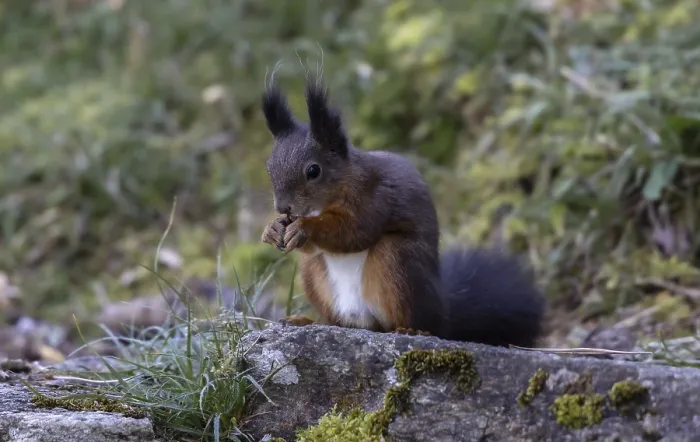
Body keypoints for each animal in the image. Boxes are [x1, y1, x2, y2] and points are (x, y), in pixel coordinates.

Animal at [259, 79, 546, 348]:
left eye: (313, 171)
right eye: (269, 167)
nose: (283, 207)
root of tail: (444, 314)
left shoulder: (374, 196)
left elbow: (354, 232)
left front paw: (305, 228)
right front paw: (272, 230)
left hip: (396, 260)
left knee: (413, 320)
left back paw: (412, 331)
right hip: (313, 274)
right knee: (338, 320)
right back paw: (306, 321)